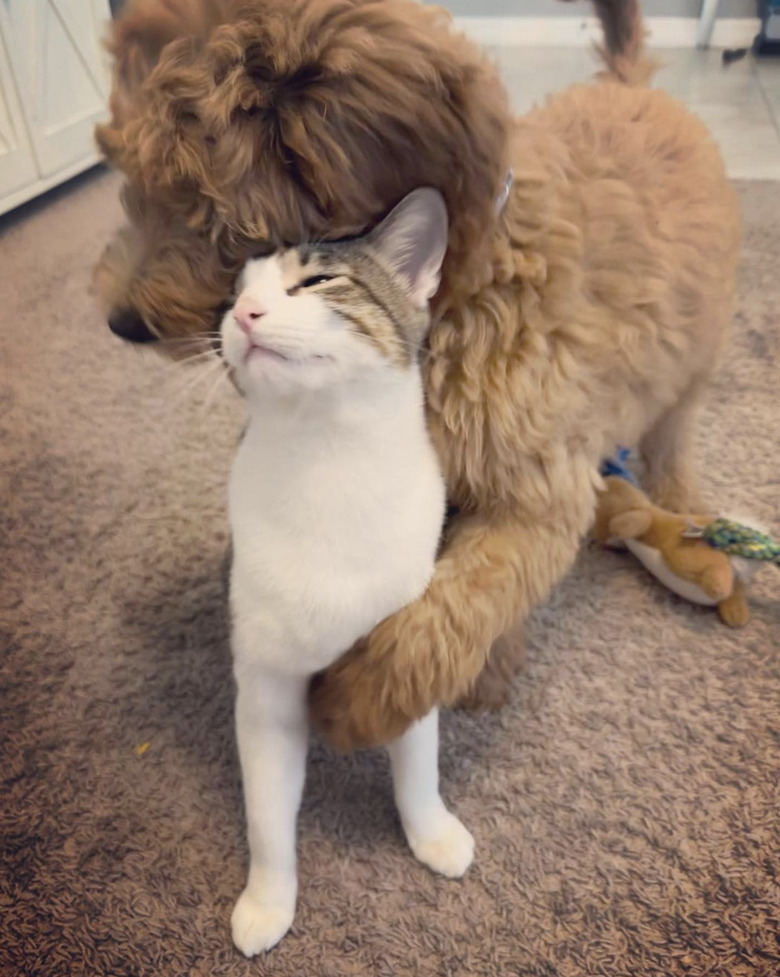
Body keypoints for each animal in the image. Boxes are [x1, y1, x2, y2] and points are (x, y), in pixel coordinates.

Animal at [97, 0, 744, 748]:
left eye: (196, 198)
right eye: (126, 174)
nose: (121, 321)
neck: (456, 295)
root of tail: (630, 85)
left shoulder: (536, 492)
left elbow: (455, 605)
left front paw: (357, 702)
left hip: (697, 357)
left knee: (674, 435)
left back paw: (687, 507)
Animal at [221, 189, 476, 952]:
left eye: (316, 282)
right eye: (236, 293)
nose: (243, 314)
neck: (326, 460)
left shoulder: (401, 651)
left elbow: (416, 768)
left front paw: (431, 832)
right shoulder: (266, 687)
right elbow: (267, 817)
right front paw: (268, 899)